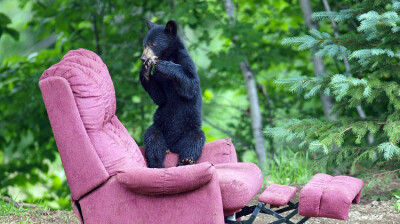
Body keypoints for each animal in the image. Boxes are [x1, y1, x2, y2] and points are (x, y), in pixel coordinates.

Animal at [139, 19, 205, 168]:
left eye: (153, 44)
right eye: (145, 44)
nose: (143, 58)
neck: (168, 55)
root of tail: (173, 147)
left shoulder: (185, 61)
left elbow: (190, 86)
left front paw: (164, 66)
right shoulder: (158, 79)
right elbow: (160, 97)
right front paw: (145, 70)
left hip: (191, 130)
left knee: (194, 141)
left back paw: (186, 161)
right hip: (159, 127)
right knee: (153, 139)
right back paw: (157, 163)